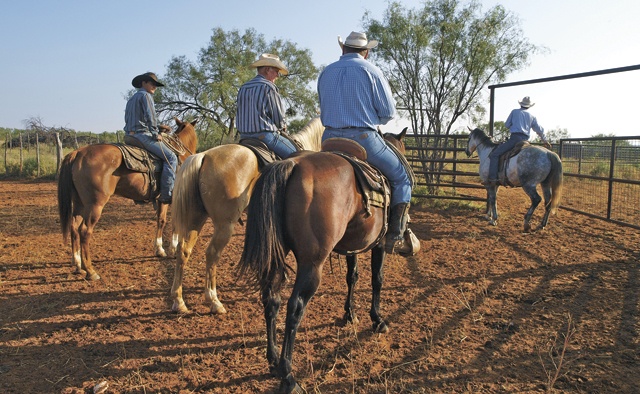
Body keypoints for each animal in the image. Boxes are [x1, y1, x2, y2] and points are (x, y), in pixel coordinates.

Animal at [57, 117, 198, 280]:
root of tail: (78, 153)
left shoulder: (162, 200)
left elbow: (161, 221)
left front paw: (159, 249)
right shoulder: (172, 198)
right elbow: (171, 223)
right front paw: (173, 249)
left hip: (80, 203)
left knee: (73, 227)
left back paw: (77, 264)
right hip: (94, 205)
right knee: (85, 231)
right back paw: (91, 271)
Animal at [169, 117, 324, 314]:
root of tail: (204, 156)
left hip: (196, 219)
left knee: (183, 251)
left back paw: (179, 301)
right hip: (225, 225)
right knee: (212, 254)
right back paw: (214, 301)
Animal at [238, 129, 408, 390]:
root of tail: (291, 164)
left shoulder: (352, 246)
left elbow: (352, 276)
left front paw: (349, 314)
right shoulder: (379, 245)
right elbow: (377, 279)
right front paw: (377, 319)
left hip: (276, 256)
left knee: (271, 299)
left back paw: (273, 359)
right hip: (312, 265)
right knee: (295, 306)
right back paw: (288, 376)